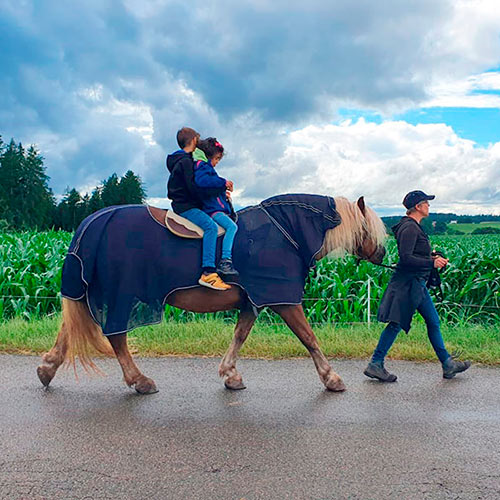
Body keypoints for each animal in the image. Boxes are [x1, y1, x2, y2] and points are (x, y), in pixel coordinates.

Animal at [37, 195, 386, 394]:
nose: (384, 254)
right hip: (122, 295)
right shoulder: (283, 300)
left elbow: (239, 336)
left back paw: (47, 369)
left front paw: (230, 375)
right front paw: (332, 378)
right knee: (116, 337)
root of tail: (94, 221)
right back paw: (140, 381)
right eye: (369, 228)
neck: (285, 232)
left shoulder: (252, 302)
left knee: (70, 330)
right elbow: (309, 338)